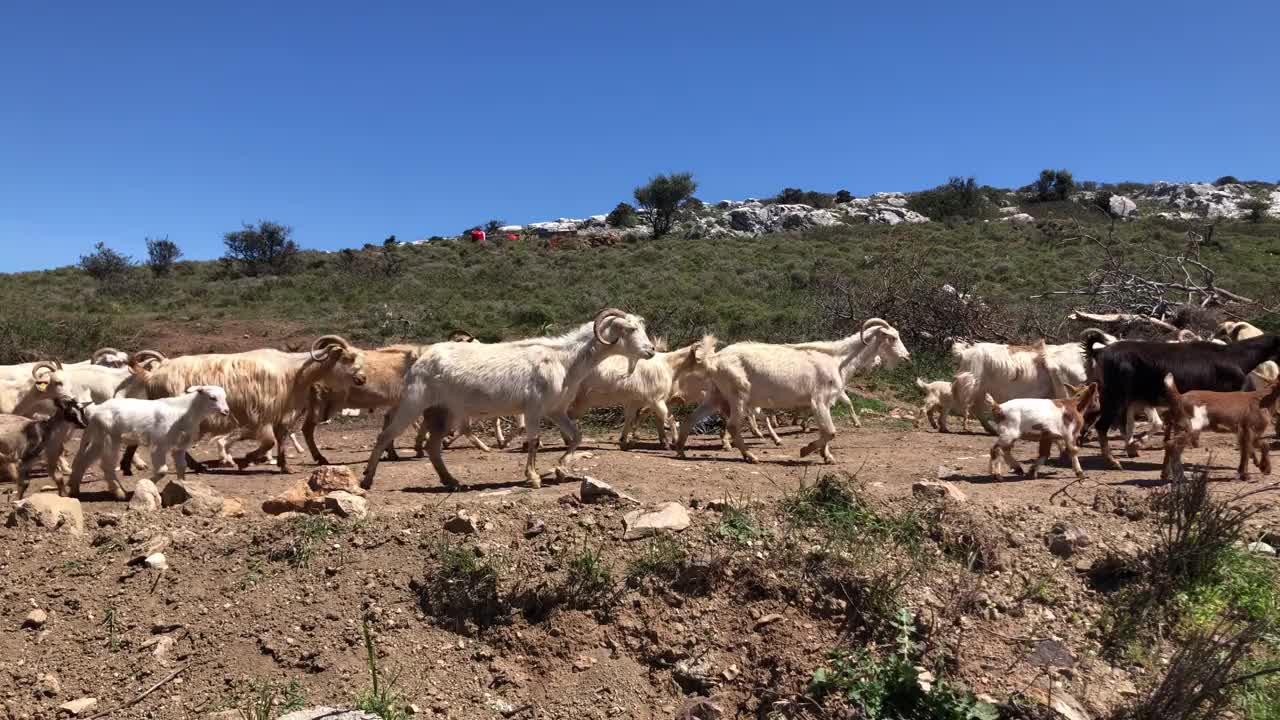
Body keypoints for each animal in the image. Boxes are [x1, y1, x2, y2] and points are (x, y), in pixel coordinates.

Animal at [67, 386, 234, 499]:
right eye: (212, 397)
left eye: (224, 397)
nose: (226, 411)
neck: (184, 412)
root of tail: (95, 410)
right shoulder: (159, 445)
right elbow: (162, 470)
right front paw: (146, 483)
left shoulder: (179, 447)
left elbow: (181, 467)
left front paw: (183, 488)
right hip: (110, 438)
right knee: (106, 465)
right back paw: (120, 493)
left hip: (97, 438)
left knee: (82, 461)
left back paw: (73, 489)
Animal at [363, 307, 655, 486]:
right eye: (629, 330)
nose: (651, 350)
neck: (565, 359)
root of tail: (419, 358)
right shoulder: (535, 407)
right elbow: (534, 441)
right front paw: (533, 477)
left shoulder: (555, 410)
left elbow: (576, 436)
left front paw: (560, 469)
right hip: (414, 403)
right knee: (385, 435)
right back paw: (367, 479)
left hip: (443, 412)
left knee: (434, 447)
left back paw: (451, 481)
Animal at [675, 316, 916, 461]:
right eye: (892, 337)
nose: (907, 357)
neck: (838, 359)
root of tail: (714, 359)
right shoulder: (819, 400)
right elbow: (830, 431)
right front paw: (806, 450)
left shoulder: (824, 404)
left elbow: (825, 431)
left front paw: (827, 456)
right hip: (739, 396)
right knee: (733, 425)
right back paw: (750, 456)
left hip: (716, 396)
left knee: (690, 418)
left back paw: (680, 450)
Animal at [1080, 327, 1280, 468]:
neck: (1235, 358)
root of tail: (1100, 351)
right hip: (1116, 397)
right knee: (1102, 425)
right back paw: (1113, 461)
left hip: (1113, 397)